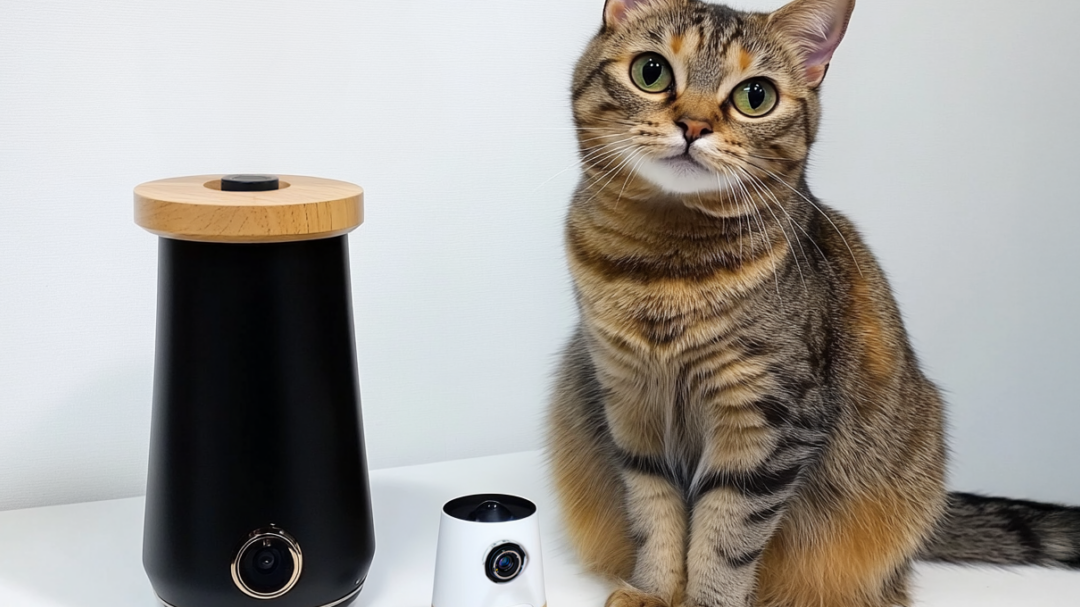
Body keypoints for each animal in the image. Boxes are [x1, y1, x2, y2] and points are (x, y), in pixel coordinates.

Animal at [546, 1, 1080, 606]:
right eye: (651, 72)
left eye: (755, 96)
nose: (694, 126)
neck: (663, 267)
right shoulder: (629, 403)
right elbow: (654, 513)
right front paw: (654, 591)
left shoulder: (768, 420)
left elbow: (724, 538)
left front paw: (706, 600)